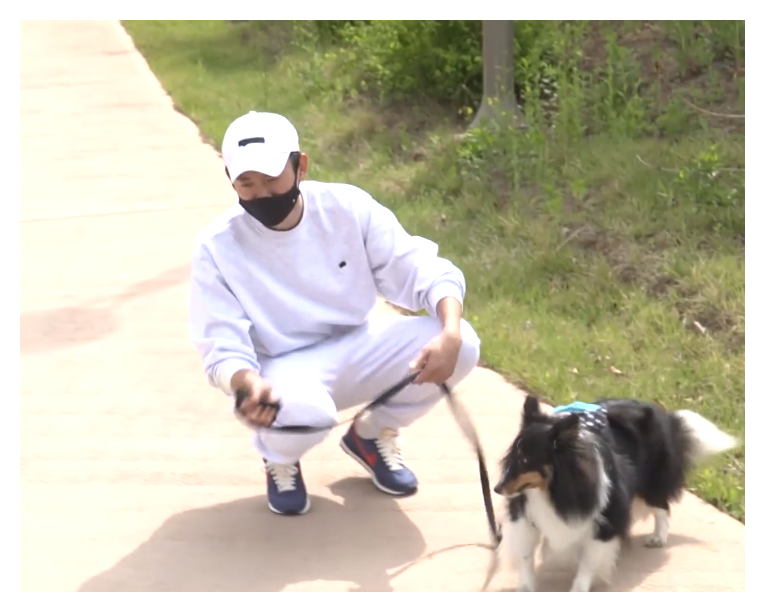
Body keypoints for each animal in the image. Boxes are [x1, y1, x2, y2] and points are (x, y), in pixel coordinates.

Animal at [493, 395, 739, 592]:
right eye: (513, 456)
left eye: (526, 460)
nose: (496, 489)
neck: (555, 490)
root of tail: (667, 418)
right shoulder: (525, 519)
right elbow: (525, 556)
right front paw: (526, 589)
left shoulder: (603, 524)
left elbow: (587, 564)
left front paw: (577, 591)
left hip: (649, 484)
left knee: (662, 506)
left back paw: (658, 537)